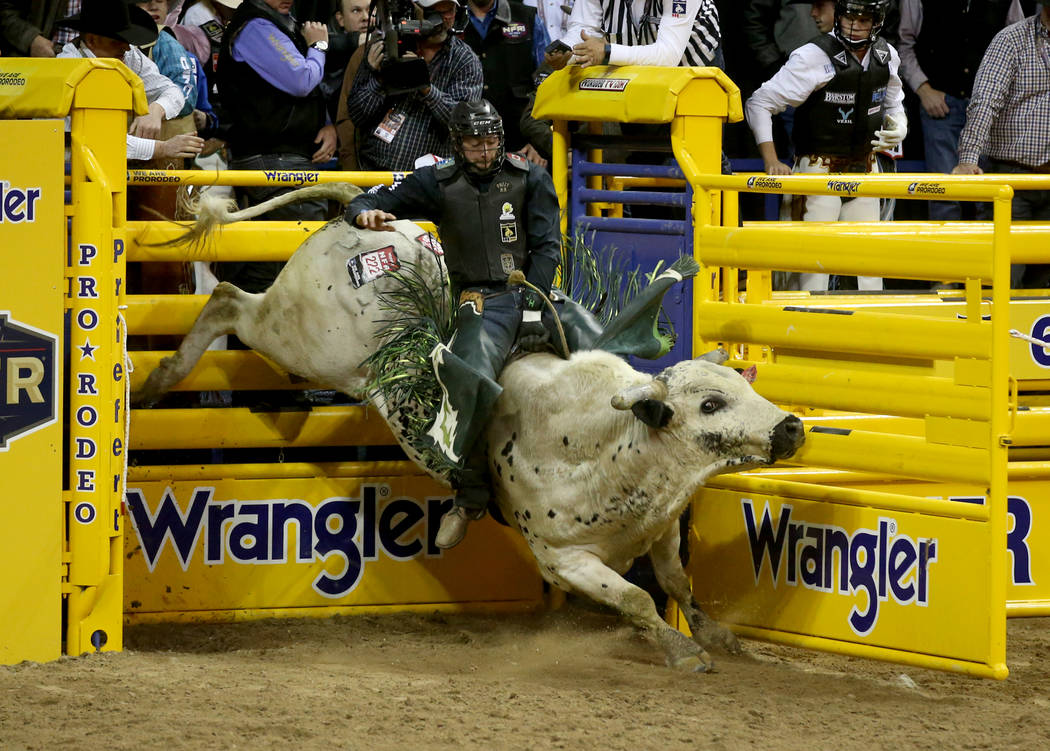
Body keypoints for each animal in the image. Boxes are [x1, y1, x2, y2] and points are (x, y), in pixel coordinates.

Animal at [133, 183, 802, 676]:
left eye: (743, 386)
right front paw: (683, 651)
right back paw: (156, 380)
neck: (605, 447)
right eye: (711, 404)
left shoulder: (659, 527)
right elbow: (637, 597)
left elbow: (676, 582)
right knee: (226, 295)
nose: (791, 426)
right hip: (302, 337)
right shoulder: (563, 560)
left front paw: (716, 635)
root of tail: (373, 214)